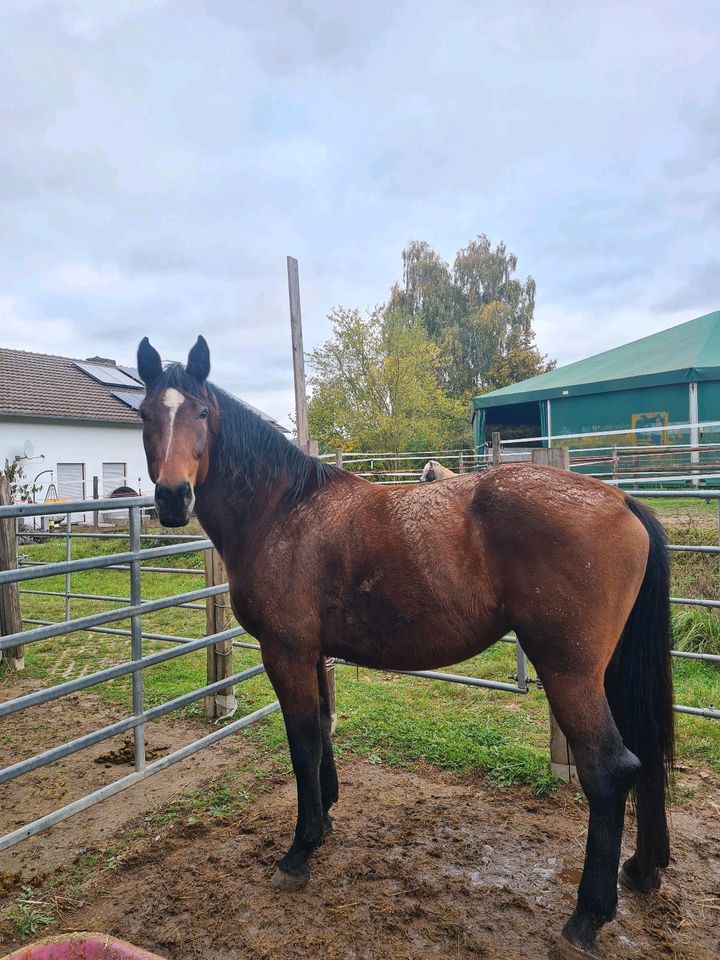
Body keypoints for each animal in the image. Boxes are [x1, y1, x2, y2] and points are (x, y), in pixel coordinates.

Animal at [136, 334, 676, 956]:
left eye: (202, 413)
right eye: (145, 414)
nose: (172, 498)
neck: (284, 511)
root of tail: (620, 501)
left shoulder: (285, 653)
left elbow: (302, 744)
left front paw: (300, 850)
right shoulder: (312, 655)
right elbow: (322, 734)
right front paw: (325, 822)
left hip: (571, 673)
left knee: (610, 771)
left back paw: (587, 916)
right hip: (610, 671)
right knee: (646, 753)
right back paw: (642, 869)